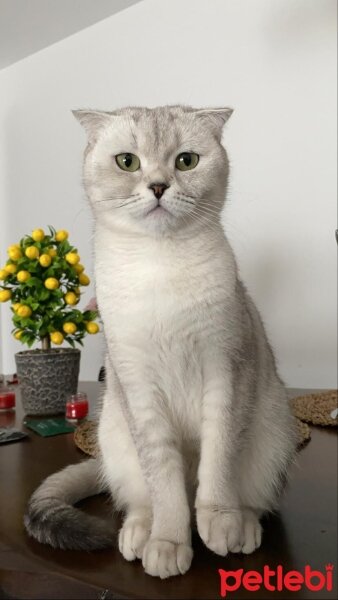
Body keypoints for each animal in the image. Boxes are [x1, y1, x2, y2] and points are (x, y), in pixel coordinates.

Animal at [25, 105, 298, 580]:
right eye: (127, 162)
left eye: (185, 161)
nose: (157, 186)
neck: (160, 268)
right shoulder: (139, 388)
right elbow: (166, 487)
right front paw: (170, 544)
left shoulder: (224, 372)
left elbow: (217, 465)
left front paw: (217, 524)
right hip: (116, 428)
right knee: (140, 499)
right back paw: (139, 536)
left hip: (272, 432)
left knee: (250, 499)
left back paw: (240, 529)